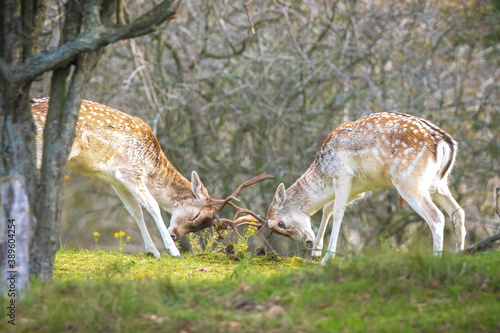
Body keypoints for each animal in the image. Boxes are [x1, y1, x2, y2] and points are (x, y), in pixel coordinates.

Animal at [31, 96, 274, 256]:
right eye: (196, 216)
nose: (175, 235)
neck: (151, 165)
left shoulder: (114, 178)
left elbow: (135, 210)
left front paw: (153, 251)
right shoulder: (130, 170)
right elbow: (153, 207)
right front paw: (173, 251)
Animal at [264, 113, 466, 264]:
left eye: (281, 223)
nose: (307, 241)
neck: (324, 171)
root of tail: (446, 143)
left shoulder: (342, 174)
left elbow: (337, 212)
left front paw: (327, 258)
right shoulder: (360, 187)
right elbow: (327, 208)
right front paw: (316, 252)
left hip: (408, 180)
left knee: (436, 217)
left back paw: (436, 258)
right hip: (438, 183)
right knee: (458, 212)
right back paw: (461, 254)